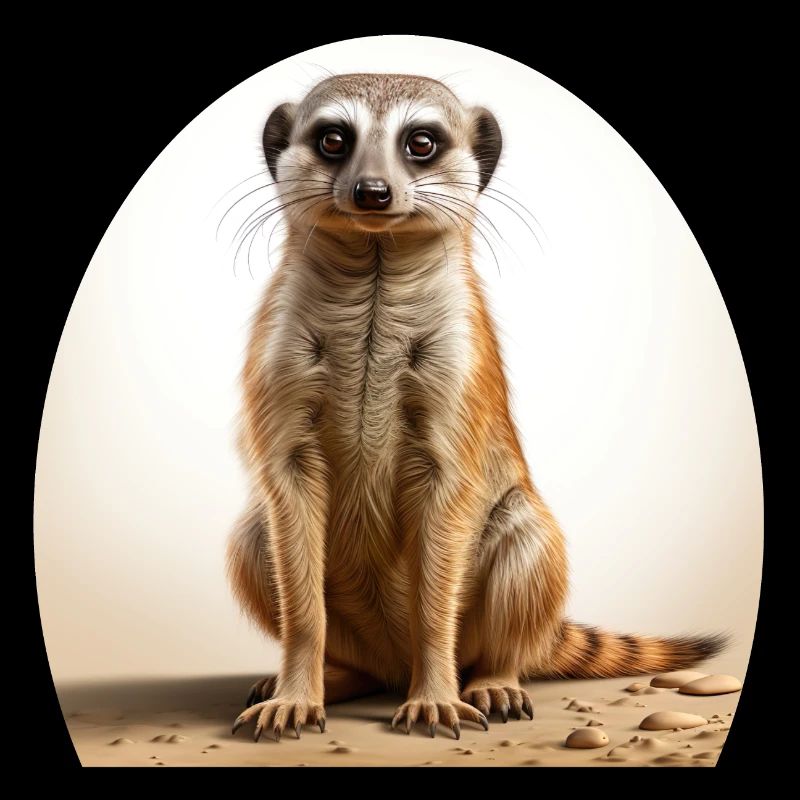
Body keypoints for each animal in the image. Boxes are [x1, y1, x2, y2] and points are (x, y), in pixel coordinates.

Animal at [225, 73, 726, 743]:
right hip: (280, 566)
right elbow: (293, 535)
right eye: (333, 139)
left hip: (524, 544)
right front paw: (294, 698)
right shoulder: (279, 359)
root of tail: (393, 662)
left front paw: (436, 698)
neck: (375, 272)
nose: (372, 192)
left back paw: (493, 681)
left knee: (523, 565)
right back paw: (335, 677)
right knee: (257, 540)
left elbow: (443, 544)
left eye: (421, 142)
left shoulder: (459, 369)